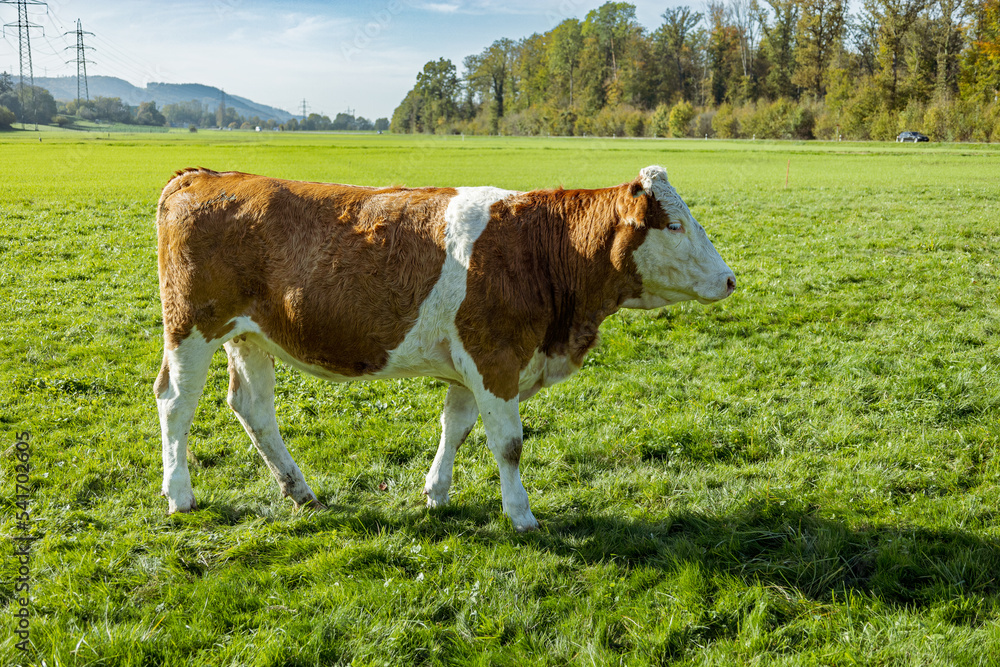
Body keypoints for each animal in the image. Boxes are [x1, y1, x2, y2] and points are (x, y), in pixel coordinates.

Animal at [154, 167, 736, 532]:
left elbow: (455, 427)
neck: (543, 249)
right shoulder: (495, 357)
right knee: (176, 404)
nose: (730, 279)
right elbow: (508, 443)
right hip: (191, 328)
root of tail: (206, 176)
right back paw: (179, 494)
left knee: (253, 408)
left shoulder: (470, 364)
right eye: (675, 225)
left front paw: (436, 492)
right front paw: (521, 515)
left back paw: (299, 490)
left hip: (249, 336)